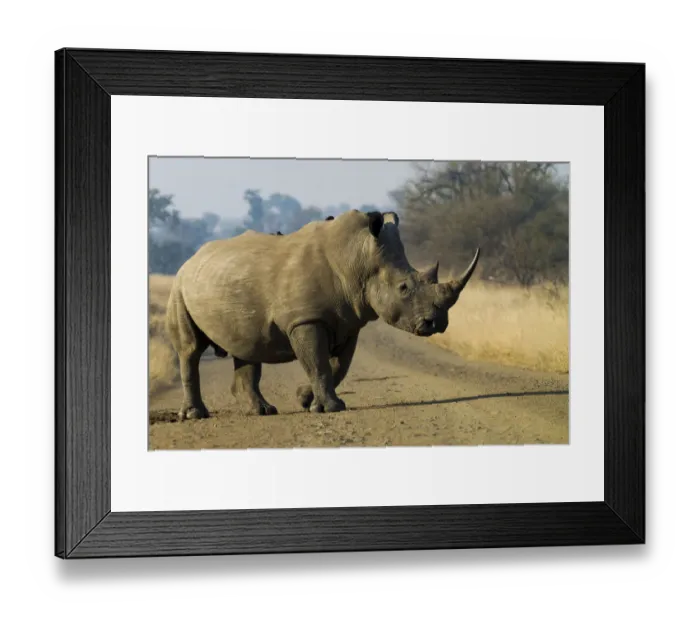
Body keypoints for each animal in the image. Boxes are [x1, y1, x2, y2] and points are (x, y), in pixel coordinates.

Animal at [165, 209, 480, 420]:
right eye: (403, 288)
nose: (436, 324)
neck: (357, 258)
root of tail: (191, 259)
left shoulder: (349, 321)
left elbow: (339, 366)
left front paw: (305, 399)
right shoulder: (306, 319)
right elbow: (318, 362)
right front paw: (330, 408)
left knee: (247, 347)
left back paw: (263, 411)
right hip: (179, 285)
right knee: (190, 349)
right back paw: (195, 415)